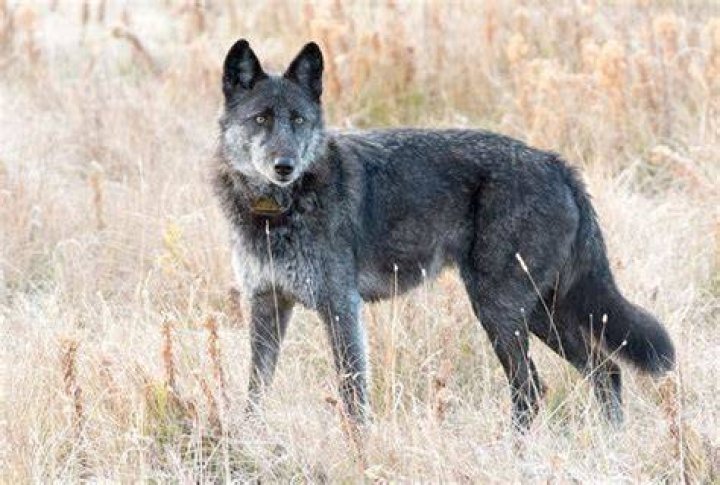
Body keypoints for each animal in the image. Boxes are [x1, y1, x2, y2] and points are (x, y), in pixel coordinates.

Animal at [212, 39, 675, 429]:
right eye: (261, 119)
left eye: (298, 120)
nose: (284, 166)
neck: (275, 213)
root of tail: (556, 163)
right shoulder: (267, 304)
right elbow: (256, 389)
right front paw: (248, 437)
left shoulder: (341, 307)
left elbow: (352, 393)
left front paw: (358, 448)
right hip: (543, 313)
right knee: (605, 372)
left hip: (502, 311)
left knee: (532, 389)